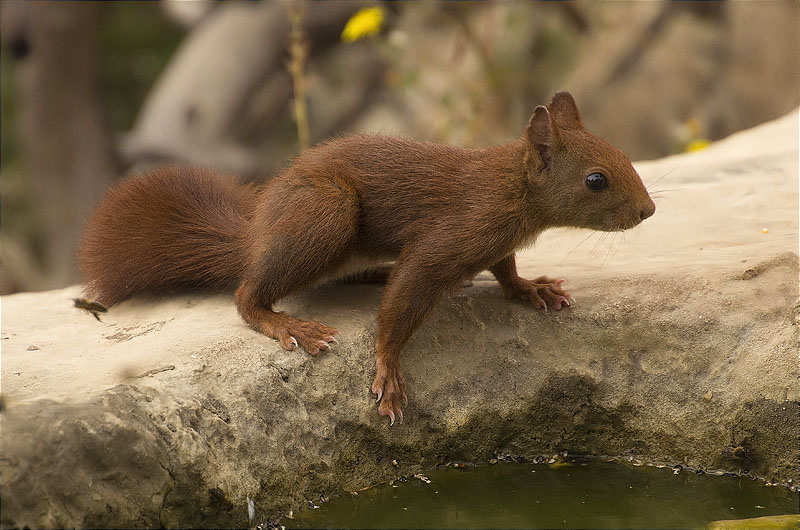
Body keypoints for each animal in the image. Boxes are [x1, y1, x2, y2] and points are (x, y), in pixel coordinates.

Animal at [79, 92, 656, 424]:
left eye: (626, 155)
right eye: (596, 180)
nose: (648, 211)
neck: (513, 192)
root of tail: (259, 230)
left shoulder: (495, 243)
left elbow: (505, 269)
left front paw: (531, 288)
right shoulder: (448, 238)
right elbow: (402, 305)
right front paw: (388, 372)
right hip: (326, 212)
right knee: (246, 293)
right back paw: (286, 322)